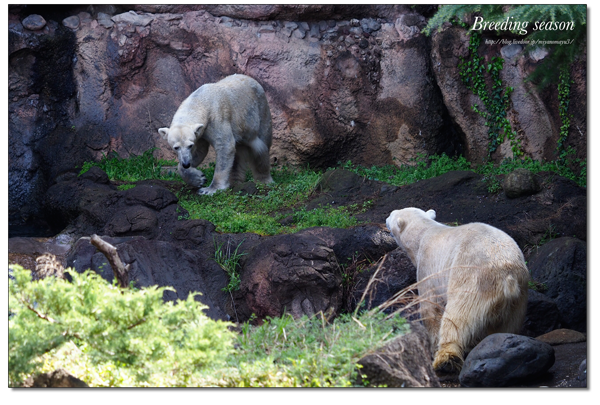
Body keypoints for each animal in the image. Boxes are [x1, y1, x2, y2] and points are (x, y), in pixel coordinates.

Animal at [384, 208, 528, 376]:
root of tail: (508, 277)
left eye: (392, 214)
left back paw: (446, 360)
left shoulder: (428, 266)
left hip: (472, 278)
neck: (424, 233)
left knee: (457, 316)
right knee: (508, 325)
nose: (386, 218)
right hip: (518, 296)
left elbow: (430, 308)